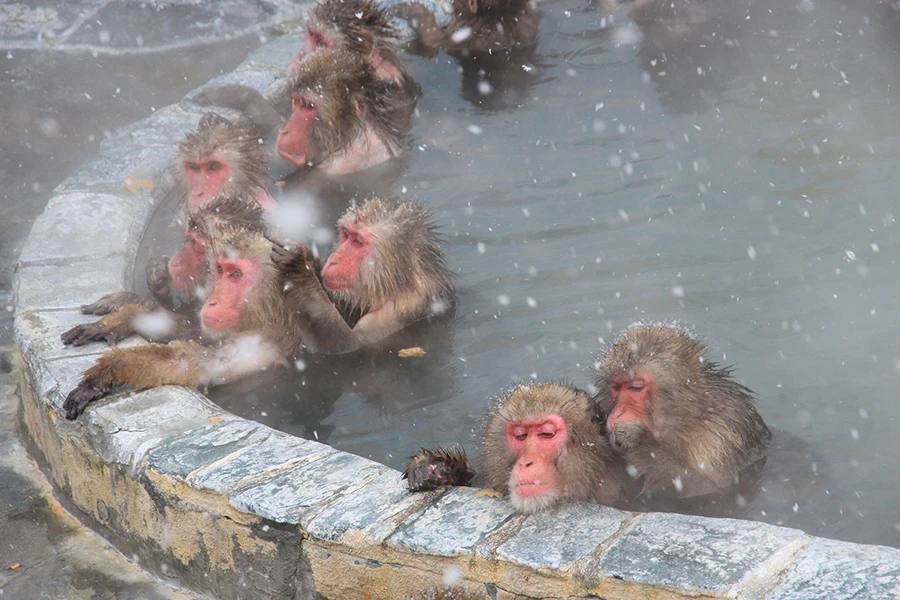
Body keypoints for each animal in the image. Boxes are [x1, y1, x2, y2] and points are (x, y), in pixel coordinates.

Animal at [593, 322, 771, 500]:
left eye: (635, 387)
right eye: (616, 387)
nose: (616, 414)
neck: (687, 420)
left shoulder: (721, 437)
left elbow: (707, 486)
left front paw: (639, 440)